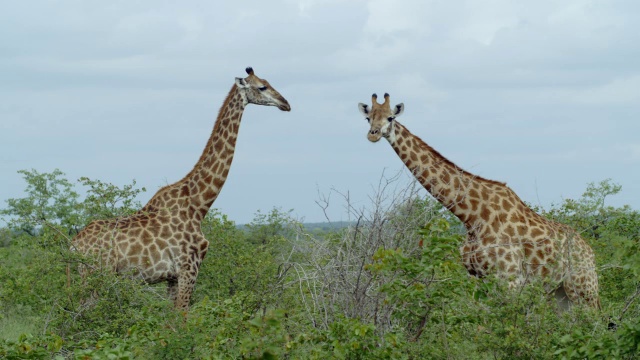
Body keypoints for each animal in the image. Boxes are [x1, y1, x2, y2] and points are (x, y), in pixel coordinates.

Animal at [72, 67, 290, 310]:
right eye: (262, 87)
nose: (286, 103)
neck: (198, 204)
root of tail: (74, 244)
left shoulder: (172, 277)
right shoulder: (189, 269)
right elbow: (183, 317)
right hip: (97, 273)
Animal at [358, 94, 596, 308]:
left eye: (390, 117)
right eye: (368, 118)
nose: (373, 135)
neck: (471, 217)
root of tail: (590, 251)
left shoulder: (510, 279)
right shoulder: (477, 278)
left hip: (584, 288)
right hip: (560, 292)